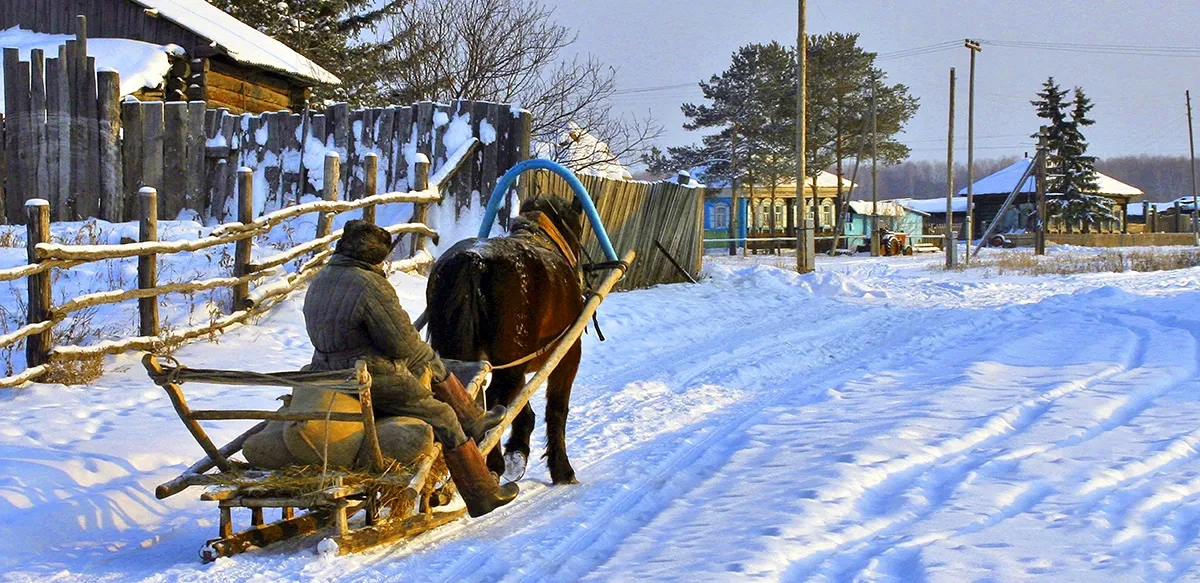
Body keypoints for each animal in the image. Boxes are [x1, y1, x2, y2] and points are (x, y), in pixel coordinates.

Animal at [427, 195, 585, 482]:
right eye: (578, 232)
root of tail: (474, 259)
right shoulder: (568, 353)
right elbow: (556, 409)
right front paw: (561, 469)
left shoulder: (518, 363)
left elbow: (523, 408)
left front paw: (517, 453)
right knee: (495, 401)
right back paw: (493, 464)